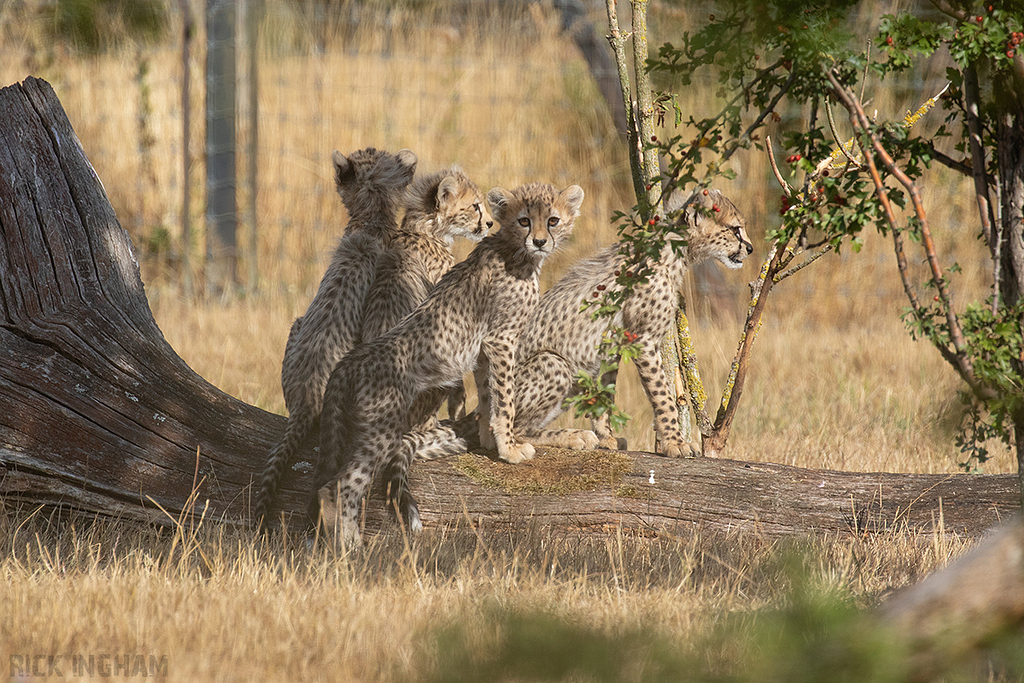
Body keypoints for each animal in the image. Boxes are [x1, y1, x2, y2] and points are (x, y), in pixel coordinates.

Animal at [313, 182, 585, 545]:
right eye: (525, 221)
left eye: (553, 220)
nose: (540, 241)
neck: (514, 250)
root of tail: (350, 359)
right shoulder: (501, 339)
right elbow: (505, 398)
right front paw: (510, 448)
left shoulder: (484, 348)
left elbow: (487, 394)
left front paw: (489, 440)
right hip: (381, 426)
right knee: (343, 482)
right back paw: (351, 546)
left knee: (331, 485)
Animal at [408, 187, 753, 463]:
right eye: (735, 229)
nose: (749, 249)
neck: (674, 249)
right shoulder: (643, 338)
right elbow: (663, 396)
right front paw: (674, 443)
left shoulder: (613, 342)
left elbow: (606, 392)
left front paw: (606, 437)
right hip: (553, 363)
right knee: (509, 427)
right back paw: (567, 437)